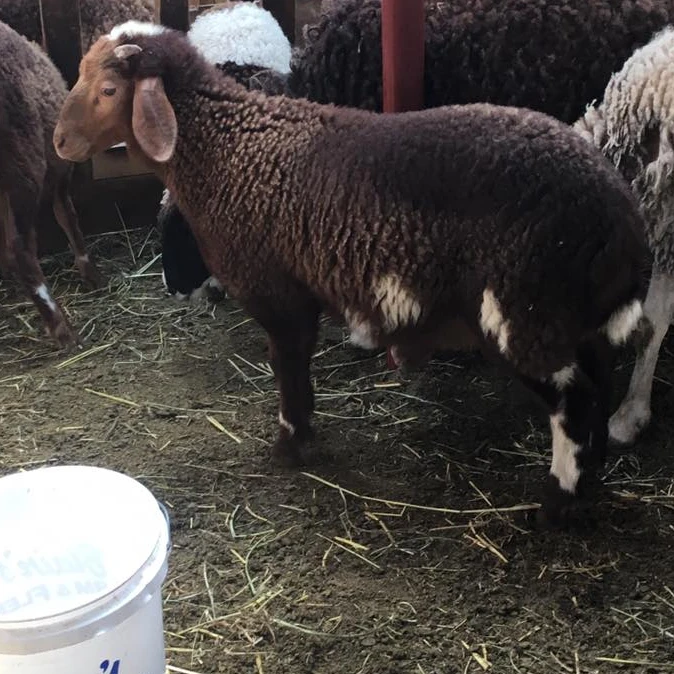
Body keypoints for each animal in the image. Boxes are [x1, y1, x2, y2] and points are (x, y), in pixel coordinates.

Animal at [0, 20, 102, 348]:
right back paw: (61, 326)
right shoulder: (59, 165)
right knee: (18, 248)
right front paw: (90, 272)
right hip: (24, 159)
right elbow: (66, 214)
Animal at [54, 22, 650, 526]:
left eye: (108, 89)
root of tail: (619, 217)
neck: (230, 147)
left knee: (574, 400)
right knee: (599, 378)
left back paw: (559, 501)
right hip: (570, 315)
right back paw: (592, 476)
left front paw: (290, 445)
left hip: (523, 311)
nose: (60, 143)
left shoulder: (279, 292)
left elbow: (289, 369)